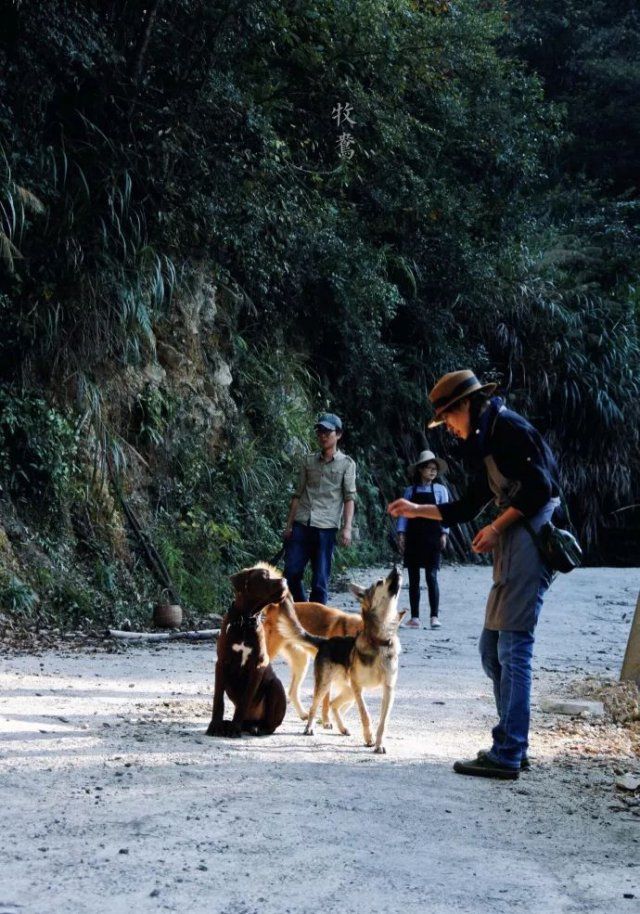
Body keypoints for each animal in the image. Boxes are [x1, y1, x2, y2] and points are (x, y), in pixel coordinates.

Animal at [206, 560, 322, 736]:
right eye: (263, 576)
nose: (284, 580)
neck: (245, 621)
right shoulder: (222, 663)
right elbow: (218, 699)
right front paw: (214, 725)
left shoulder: (257, 666)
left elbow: (245, 700)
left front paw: (234, 728)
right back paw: (231, 724)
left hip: (275, 685)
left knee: (270, 725)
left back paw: (254, 728)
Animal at [302, 568, 402, 752]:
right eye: (380, 582)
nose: (397, 568)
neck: (379, 642)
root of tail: (325, 641)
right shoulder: (358, 687)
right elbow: (365, 714)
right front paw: (369, 738)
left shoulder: (388, 689)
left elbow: (383, 722)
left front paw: (379, 744)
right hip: (326, 685)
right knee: (315, 706)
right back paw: (309, 728)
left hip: (348, 691)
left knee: (333, 704)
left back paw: (342, 728)